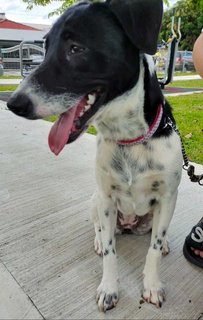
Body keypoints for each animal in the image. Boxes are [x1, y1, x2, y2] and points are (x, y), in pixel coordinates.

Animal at [7, 0, 183, 312]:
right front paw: (109, 288)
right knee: (101, 229)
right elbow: (111, 253)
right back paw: (100, 240)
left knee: (153, 235)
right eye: (46, 47)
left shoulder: (167, 197)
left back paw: (162, 244)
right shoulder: (106, 198)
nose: (13, 104)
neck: (129, 139)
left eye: (76, 48)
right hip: (95, 201)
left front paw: (151, 284)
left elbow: (151, 251)